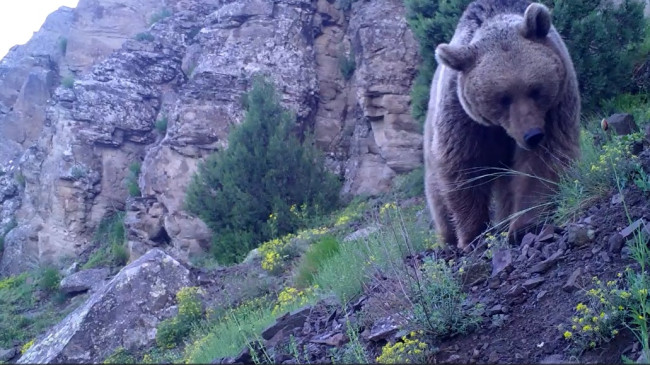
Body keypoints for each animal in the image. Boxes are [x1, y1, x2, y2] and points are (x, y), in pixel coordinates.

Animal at [422, 0, 580, 250]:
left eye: (535, 90)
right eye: (502, 98)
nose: (532, 135)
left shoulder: (556, 105)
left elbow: (543, 160)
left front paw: (525, 224)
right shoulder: (464, 118)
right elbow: (466, 169)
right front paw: (473, 235)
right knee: (436, 189)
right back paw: (447, 237)